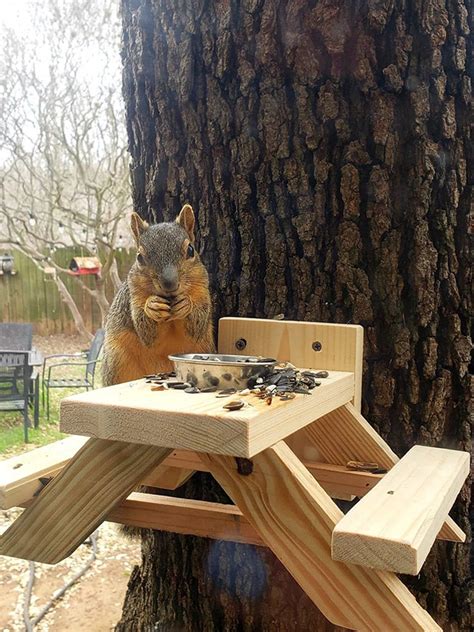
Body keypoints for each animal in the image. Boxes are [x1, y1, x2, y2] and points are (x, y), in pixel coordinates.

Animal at [104, 205, 217, 388]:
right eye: (139, 257)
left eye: (191, 250)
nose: (169, 284)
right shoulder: (134, 295)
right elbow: (146, 332)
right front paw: (152, 306)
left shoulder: (202, 290)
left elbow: (197, 325)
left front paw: (186, 304)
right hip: (117, 361)